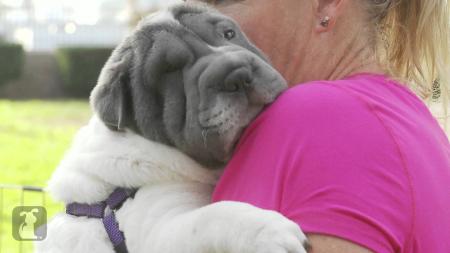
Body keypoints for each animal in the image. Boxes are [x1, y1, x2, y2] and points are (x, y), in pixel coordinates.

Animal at [36, 1, 310, 253]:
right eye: (170, 71)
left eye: (229, 34)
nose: (238, 75)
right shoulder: (157, 230)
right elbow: (209, 217)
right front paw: (270, 230)